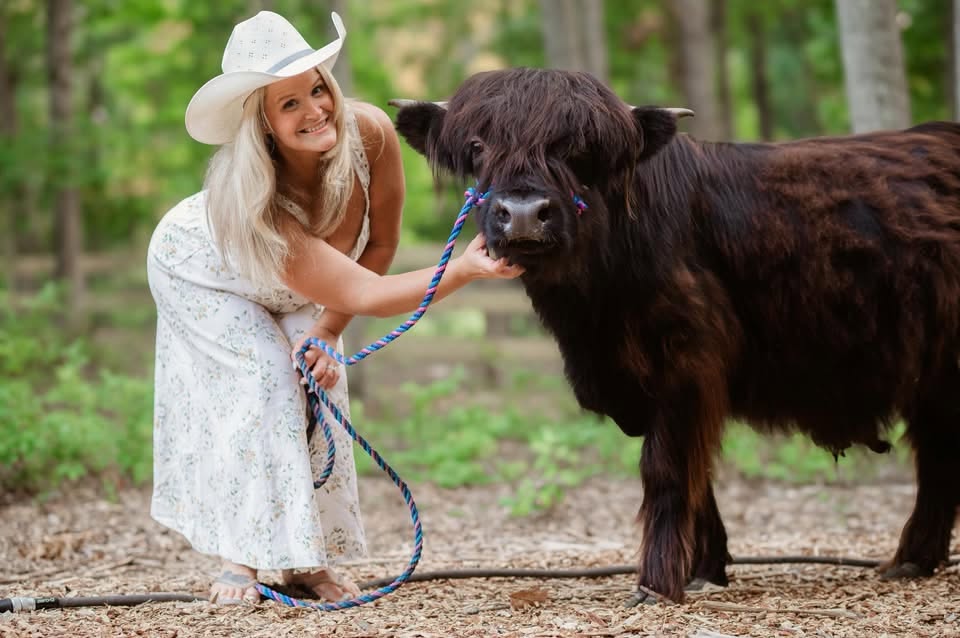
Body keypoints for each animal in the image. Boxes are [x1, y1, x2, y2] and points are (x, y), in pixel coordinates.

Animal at [390, 67, 960, 605]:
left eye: (578, 150)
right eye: (478, 146)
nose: (525, 214)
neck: (592, 320)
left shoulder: (685, 366)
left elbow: (668, 471)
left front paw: (657, 582)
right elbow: (696, 477)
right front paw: (705, 567)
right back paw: (913, 560)